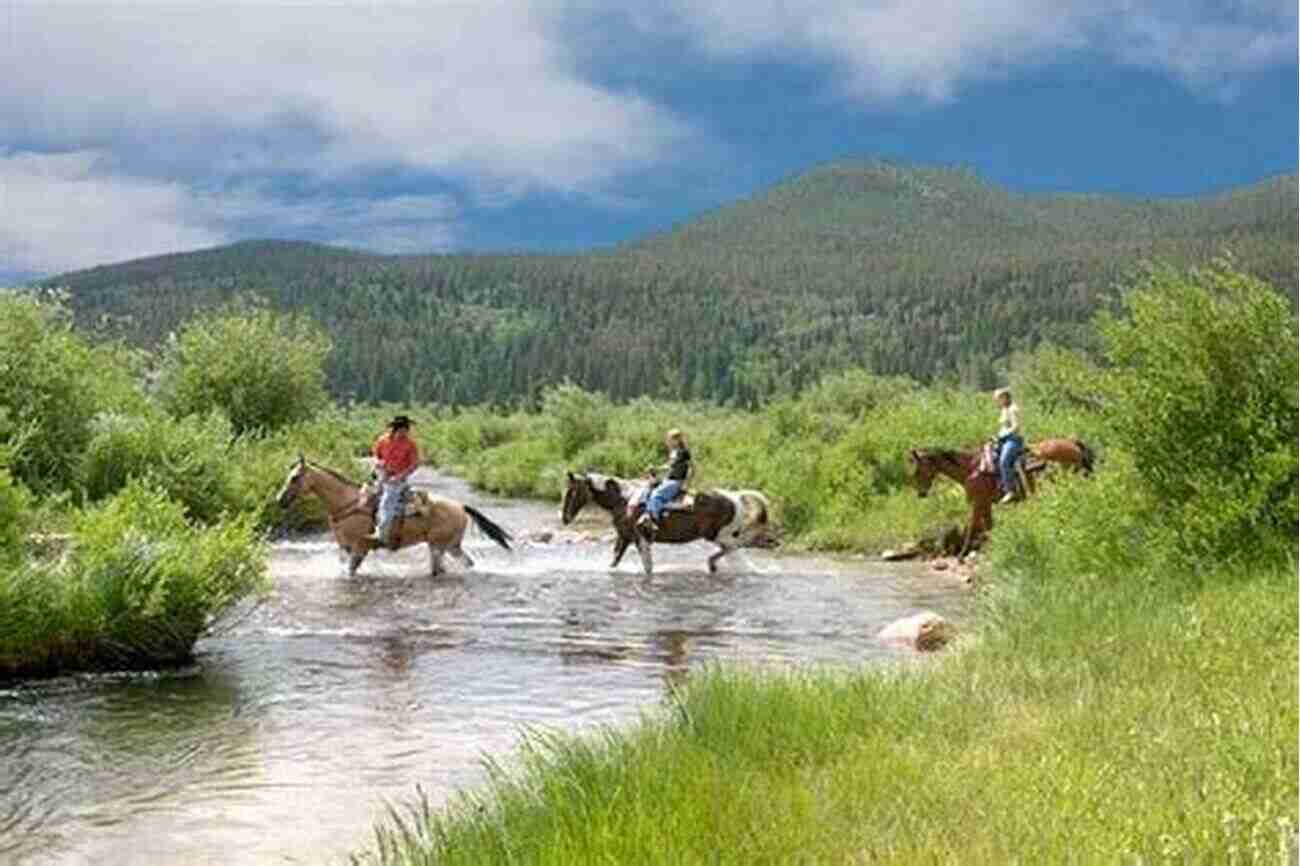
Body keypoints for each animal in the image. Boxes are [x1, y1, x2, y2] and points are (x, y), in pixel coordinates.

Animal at [276, 455, 509, 577]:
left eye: (295, 477)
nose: (280, 500)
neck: (348, 504)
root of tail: (460, 506)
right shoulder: (344, 548)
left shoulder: (359, 548)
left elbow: (351, 571)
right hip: (451, 546)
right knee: (466, 563)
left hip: (438, 546)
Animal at [561, 468, 769, 577]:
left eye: (572, 492)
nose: (564, 518)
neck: (624, 499)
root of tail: (734, 497)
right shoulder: (625, 537)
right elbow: (614, 562)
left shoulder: (640, 539)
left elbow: (647, 567)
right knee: (734, 552)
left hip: (719, 535)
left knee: (735, 548)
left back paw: (713, 564)